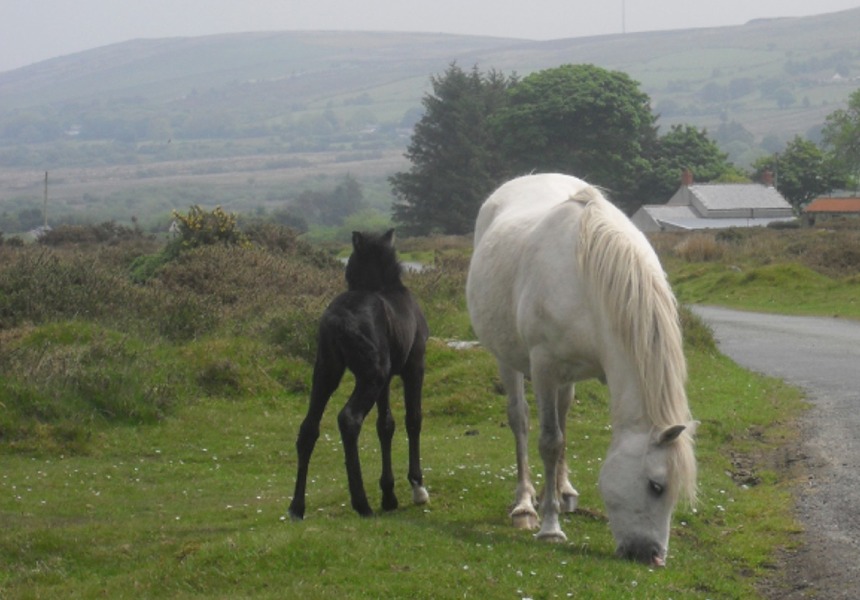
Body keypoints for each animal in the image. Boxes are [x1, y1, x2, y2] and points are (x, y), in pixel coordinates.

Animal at [288, 229, 430, 520]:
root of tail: (338, 320)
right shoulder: (414, 366)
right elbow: (413, 419)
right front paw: (417, 488)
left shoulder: (386, 380)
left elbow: (385, 425)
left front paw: (389, 495)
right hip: (370, 377)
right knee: (348, 419)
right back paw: (361, 503)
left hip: (326, 372)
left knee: (309, 427)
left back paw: (297, 507)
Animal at [466, 173, 697, 567]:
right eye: (656, 486)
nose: (653, 557)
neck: (588, 277)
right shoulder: (544, 367)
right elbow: (549, 441)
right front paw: (550, 527)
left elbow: (562, 433)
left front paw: (558, 497)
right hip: (508, 360)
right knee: (521, 421)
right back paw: (526, 504)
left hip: (566, 376)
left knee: (563, 416)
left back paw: (561, 491)